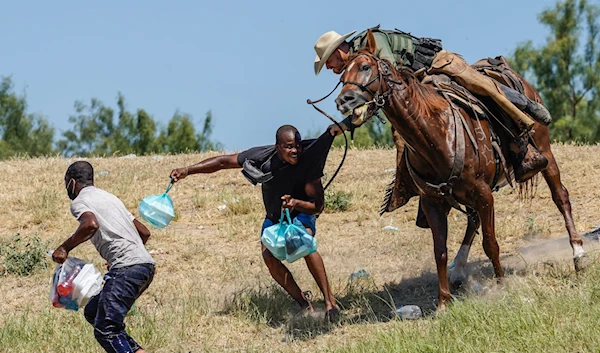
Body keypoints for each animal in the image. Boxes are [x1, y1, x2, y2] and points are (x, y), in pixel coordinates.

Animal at [338, 31, 584, 310]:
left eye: (365, 67)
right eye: (341, 76)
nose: (343, 100)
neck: (436, 133)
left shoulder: (483, 193)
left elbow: (490, 243)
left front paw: (501, 286)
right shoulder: (433, 202)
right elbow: (440, 252)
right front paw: (443, 302)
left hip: (545, 152)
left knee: (560, 196)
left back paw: (578, 254)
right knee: (472, 220)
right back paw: (458, 270)